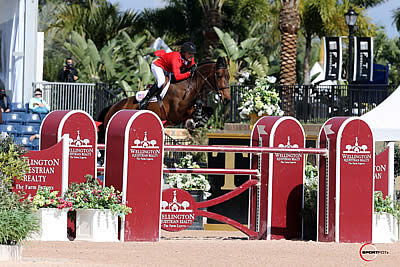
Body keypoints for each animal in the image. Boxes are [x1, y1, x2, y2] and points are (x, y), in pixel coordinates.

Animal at [101, 57, 230, 130]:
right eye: (219, 75)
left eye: (228, 77)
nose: (227, 99)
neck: (189, 87)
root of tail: (112, 107)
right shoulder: (177, 114)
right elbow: (196, 108)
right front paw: (195, 120)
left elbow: (209, 109)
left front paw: (199, 121)